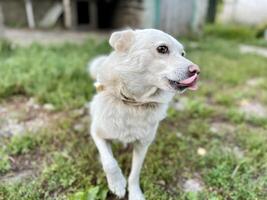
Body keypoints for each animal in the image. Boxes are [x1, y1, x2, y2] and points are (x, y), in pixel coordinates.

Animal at [89, 28, 200, 200]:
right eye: (162, 49)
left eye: (183, 54)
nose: (196, 71)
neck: (134, 103)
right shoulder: (97, 133)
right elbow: (109, 162)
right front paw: (117, 184)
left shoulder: (143, 145)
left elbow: (134, 174)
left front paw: (135, 193)